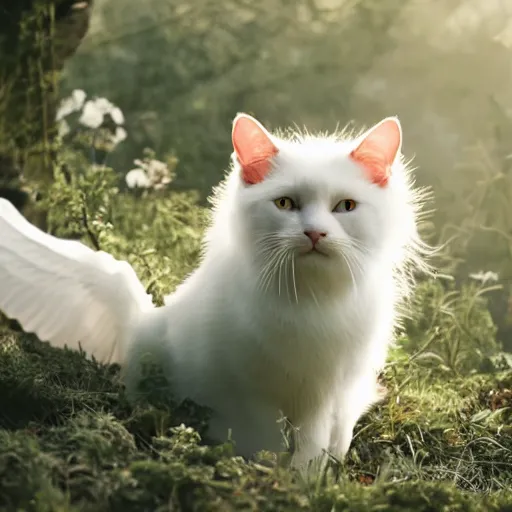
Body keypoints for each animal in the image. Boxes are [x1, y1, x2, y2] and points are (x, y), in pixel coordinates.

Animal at [0, 114, 426, 466]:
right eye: (285, 203)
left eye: (346, 206)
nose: (315, 233)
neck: (311, 299)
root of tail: (141, 326)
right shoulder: (245, 394)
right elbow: (264, 444)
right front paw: (267, 479)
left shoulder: (331, 394)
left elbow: (318, 447)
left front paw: (306, 482)